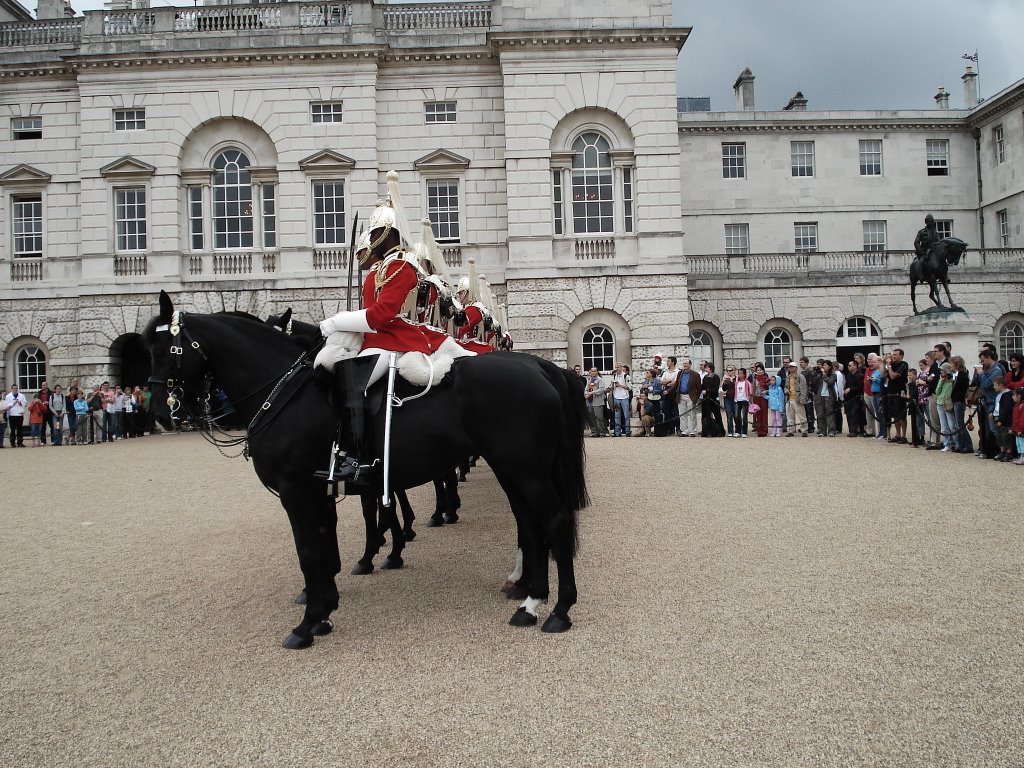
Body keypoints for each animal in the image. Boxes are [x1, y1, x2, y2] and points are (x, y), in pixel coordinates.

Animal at [148, 294, 589, 651]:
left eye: (164, 347)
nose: (161, 415)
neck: (282, 392)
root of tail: (540, 368)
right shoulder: (323, 490)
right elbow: (326, 543)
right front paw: (325, 608)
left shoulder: (298, 491)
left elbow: (310, 551)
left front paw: (307, 624)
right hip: (512, 468)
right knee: (529, 523)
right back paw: (528, 599)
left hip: (525, 470)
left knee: (554, 520)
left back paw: (556, 610)